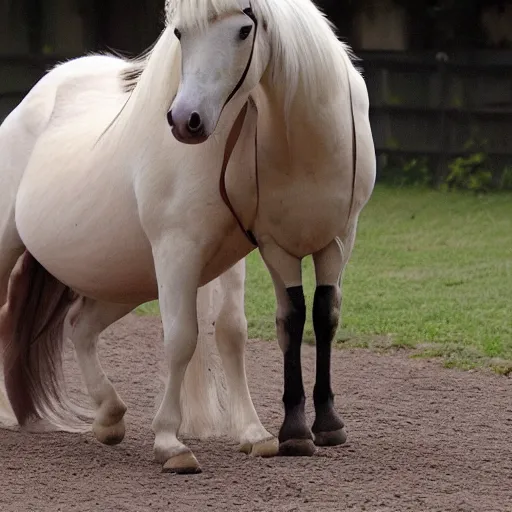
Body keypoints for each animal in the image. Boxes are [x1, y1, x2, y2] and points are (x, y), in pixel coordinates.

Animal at [0, 0, 376, 474]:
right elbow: (183, 338)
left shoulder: (314, 244)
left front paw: (262, 433)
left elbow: (246, 329)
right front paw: (170, 442)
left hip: (124, 279)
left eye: (243, 30)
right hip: (14, 247)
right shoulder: (186, 251)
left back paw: (109, 416)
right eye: (179, 34)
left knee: (80, 326)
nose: (185, 121)